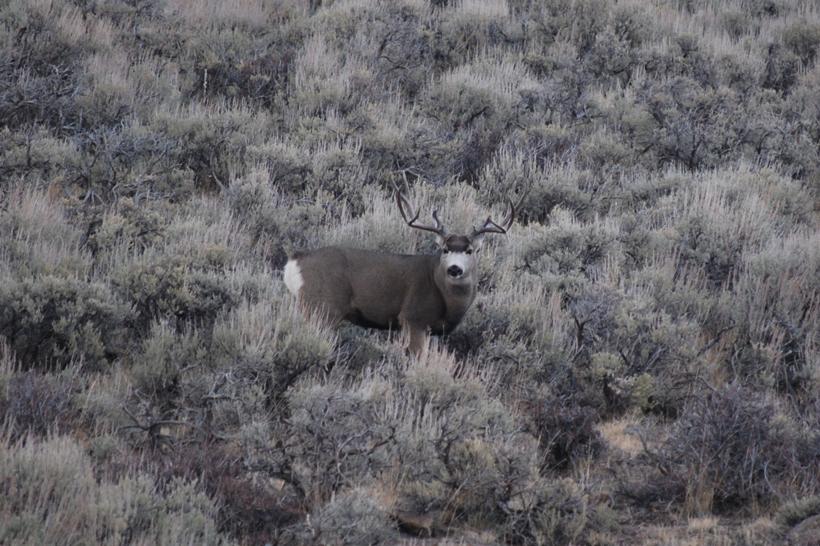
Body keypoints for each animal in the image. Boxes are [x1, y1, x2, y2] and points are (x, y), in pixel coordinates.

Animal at [283, 185, 521, 355]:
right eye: (444, 249)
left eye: (470, 250)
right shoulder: (413, 318)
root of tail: (295, 261)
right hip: (322, 307)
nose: (454, 269)